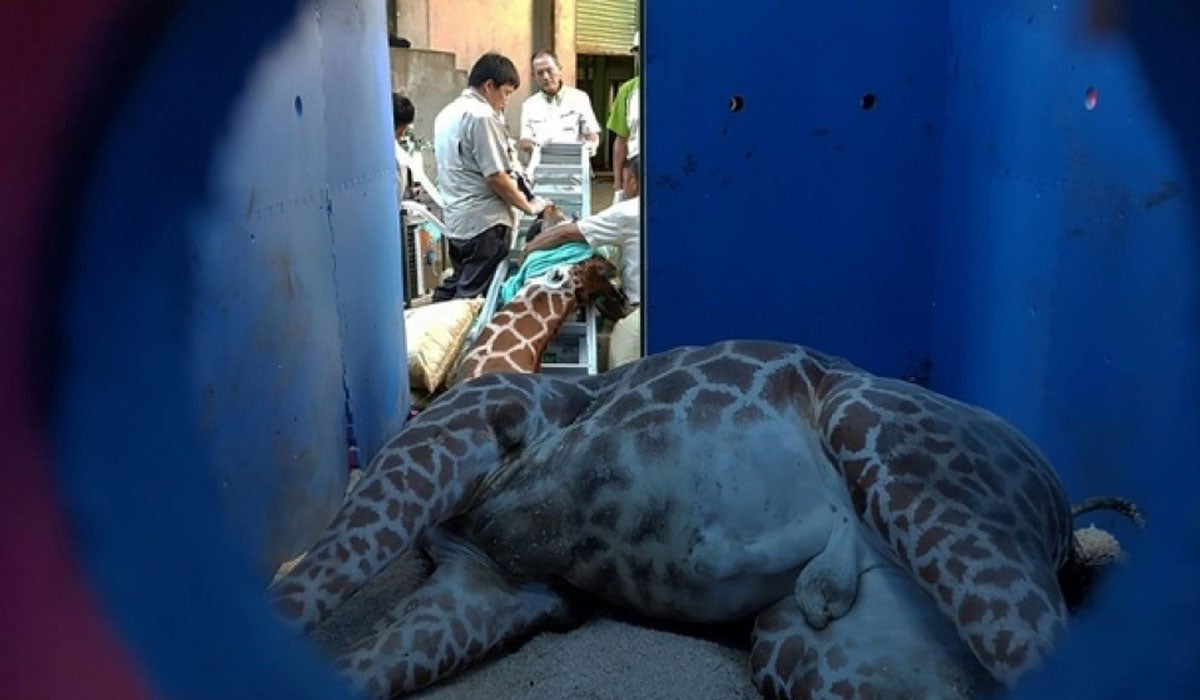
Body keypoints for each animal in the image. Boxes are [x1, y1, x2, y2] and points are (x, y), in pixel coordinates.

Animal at [268, 340, 1137, 699]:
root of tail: (1066, 523)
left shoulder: (457, 437)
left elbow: (306, 586)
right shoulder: (486, 582)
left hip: (888, 446)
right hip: (813, 646)